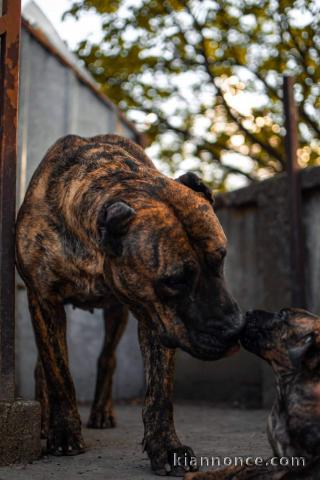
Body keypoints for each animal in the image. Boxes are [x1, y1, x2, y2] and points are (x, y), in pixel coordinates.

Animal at [15, 133, 241, 474]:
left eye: (221, 259)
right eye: (175, 281)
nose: (234, 330)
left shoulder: (155, 315)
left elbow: (159, 392)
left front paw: (166, 446)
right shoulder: (43, 299)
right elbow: (59, 374)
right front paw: (64, 430)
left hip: (116, 313)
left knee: (107, 358)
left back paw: (101, 411)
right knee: (46, 364)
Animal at [186, 310, 320, 478]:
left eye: (283, 316)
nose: (248, 312)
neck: (286, 387)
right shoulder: (278, 458)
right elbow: (243, 465)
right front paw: (203, 475)